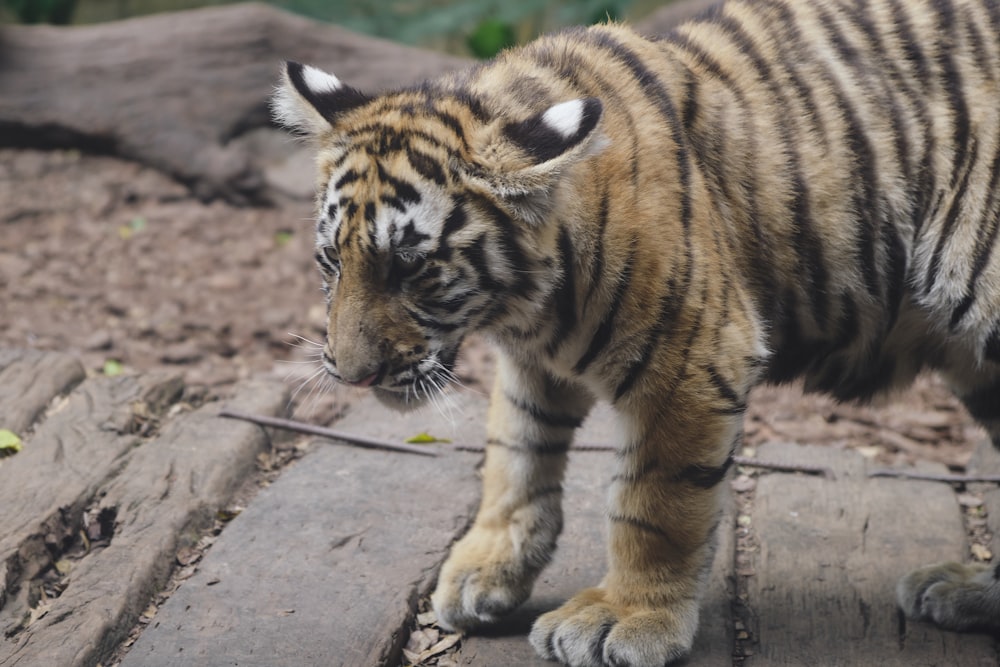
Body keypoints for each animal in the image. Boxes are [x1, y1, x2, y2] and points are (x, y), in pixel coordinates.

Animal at [272, 0, 1000, 664]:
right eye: (331, 260)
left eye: (411, 267)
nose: (352, 373)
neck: (526, 304)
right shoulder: (530, 363)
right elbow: (515, 454)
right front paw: (482, 569)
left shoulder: (692, 357)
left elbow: (655, 502)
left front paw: (624, 617)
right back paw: (965, 590)